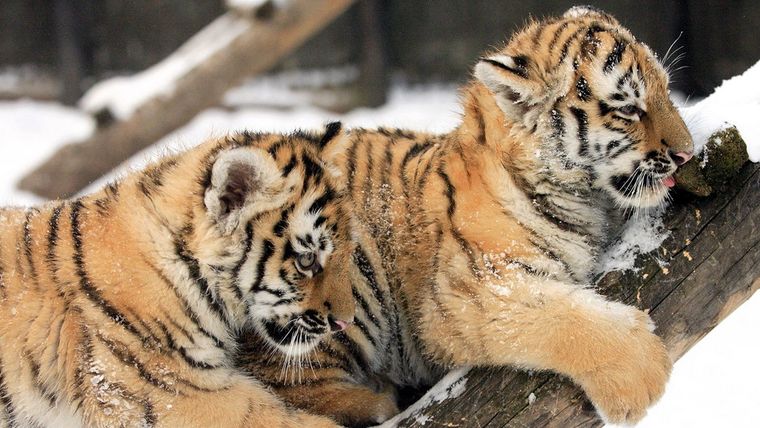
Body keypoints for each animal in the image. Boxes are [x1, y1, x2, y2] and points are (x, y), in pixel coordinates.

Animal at [238, 6, 693, 426]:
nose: (687, 153)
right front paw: (642, 377)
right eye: (629, 109)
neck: (587, 199)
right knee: (291, 383)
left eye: (668, 89)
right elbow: (563, 317)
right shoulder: (473, 291)